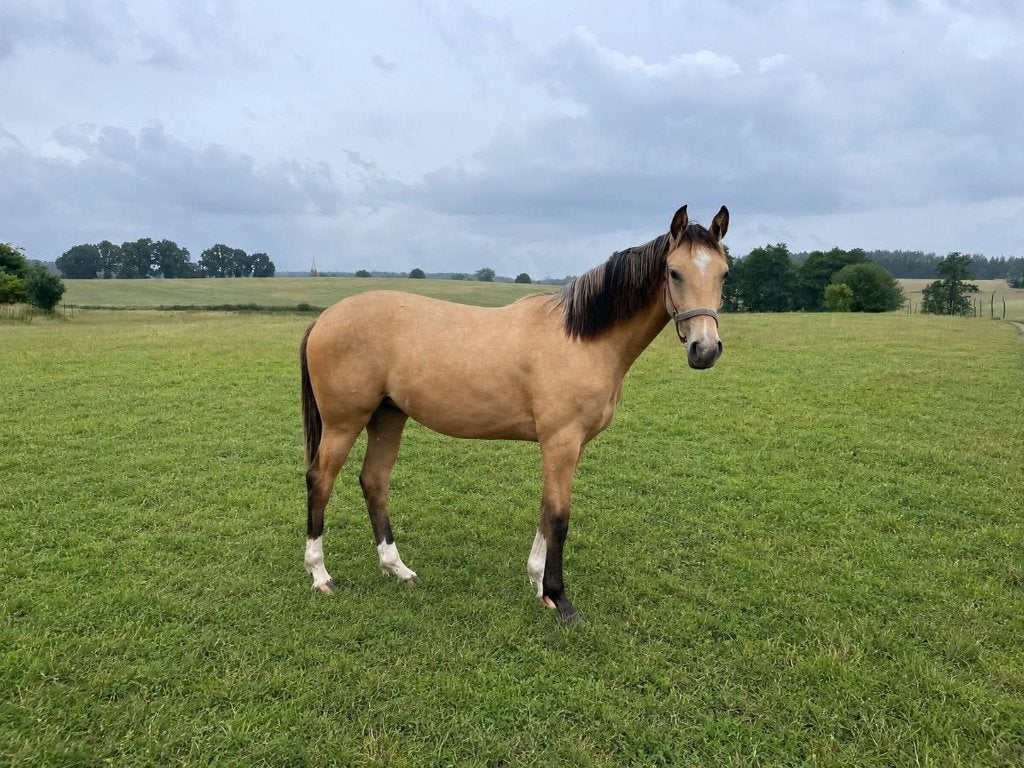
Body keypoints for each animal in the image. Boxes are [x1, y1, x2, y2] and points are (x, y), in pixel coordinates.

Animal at [300, 204, 730, 622]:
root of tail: (325, 317)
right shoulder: (561, 441)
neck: (581, 338)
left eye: (724, 273)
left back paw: (397, 569)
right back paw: (320, 575)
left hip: (388, 416)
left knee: (374, 482)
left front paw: (539, 585)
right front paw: (560, 600)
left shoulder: (569, 446)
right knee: (320, 481)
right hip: (344, 423)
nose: (705, 349)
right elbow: (558, 517)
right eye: (674, 272)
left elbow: (545, 509)